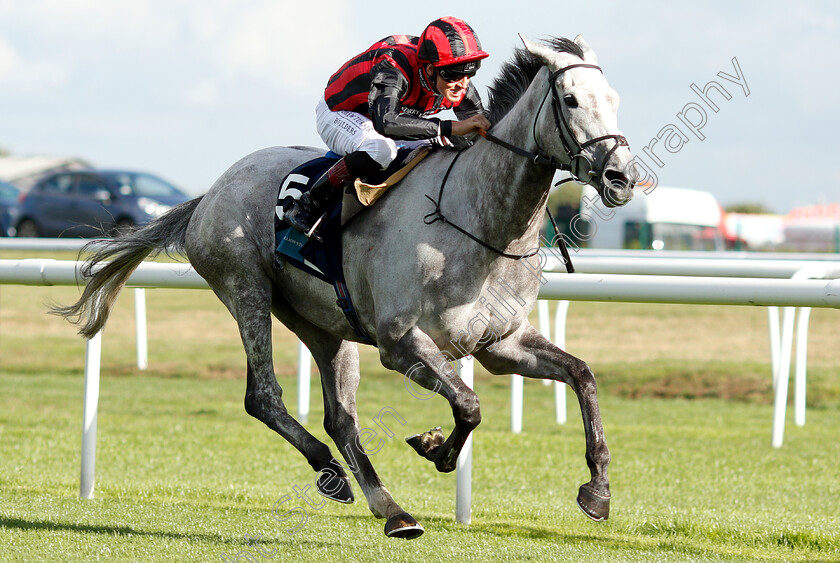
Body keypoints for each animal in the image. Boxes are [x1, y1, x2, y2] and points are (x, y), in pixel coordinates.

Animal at [54, 36, 636, 540]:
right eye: (570, 99)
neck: (480, 222)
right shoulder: (401, 343)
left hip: (324, 324)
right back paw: (335, 473)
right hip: (246, 290)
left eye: (614, 100)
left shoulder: (501, 344)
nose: (621, 177)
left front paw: (598, 492)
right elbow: (469, 405)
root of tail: (209, 193)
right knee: (264, 396)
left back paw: (390, 508)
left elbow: (582, 376)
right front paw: (435, 448)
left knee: (341, 418)